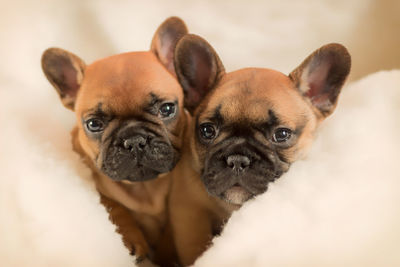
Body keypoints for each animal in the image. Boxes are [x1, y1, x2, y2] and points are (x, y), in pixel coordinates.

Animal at [41, 17, 188, 264]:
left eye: (167, 109)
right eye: (94, 124)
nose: (135, 140)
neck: (144, 189)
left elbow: (173, 225)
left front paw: (169, 253)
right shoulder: (94, 187)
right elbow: (112, 207)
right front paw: (129, 238)